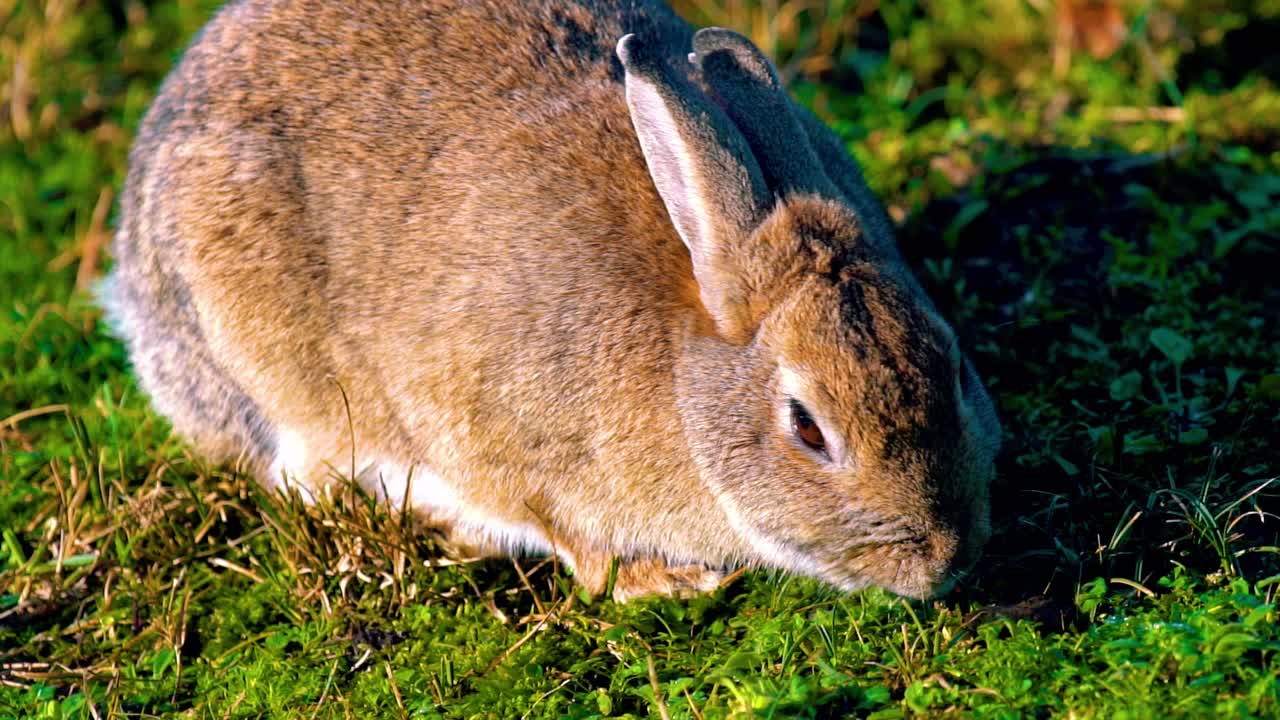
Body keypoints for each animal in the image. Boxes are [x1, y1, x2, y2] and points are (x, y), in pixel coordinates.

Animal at [101, 0, 1002, 601]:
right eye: (807, 430)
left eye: (954, 367)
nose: (943, 562)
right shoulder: (500, 439)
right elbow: (565, 531)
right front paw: (665, 581)